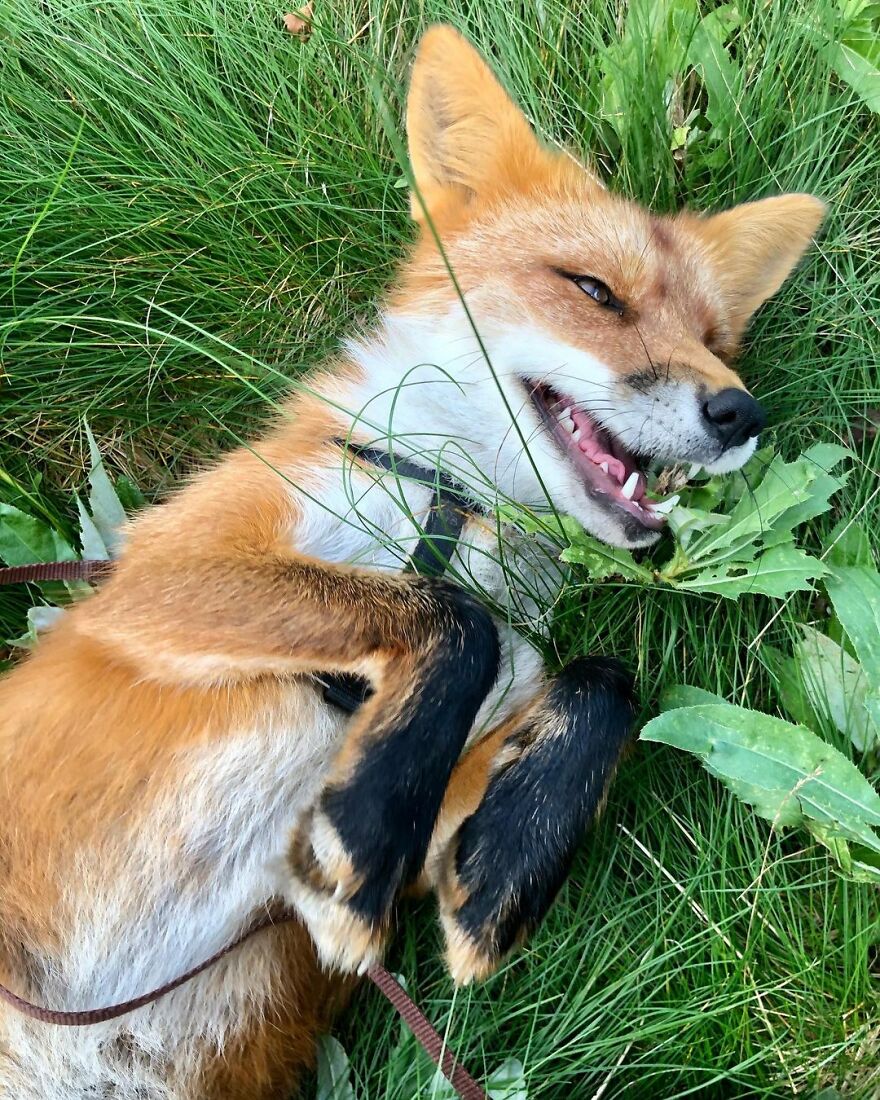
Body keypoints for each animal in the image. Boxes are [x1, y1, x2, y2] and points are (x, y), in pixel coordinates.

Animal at [0, 23, 825, 1100]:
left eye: (715, 338)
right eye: (593, 291)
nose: (738, 413)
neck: (451, 514)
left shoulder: (396, 810)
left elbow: (603, 687)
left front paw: (499, 878)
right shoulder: (157, 575)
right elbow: (451, 622)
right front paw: (367, 832)